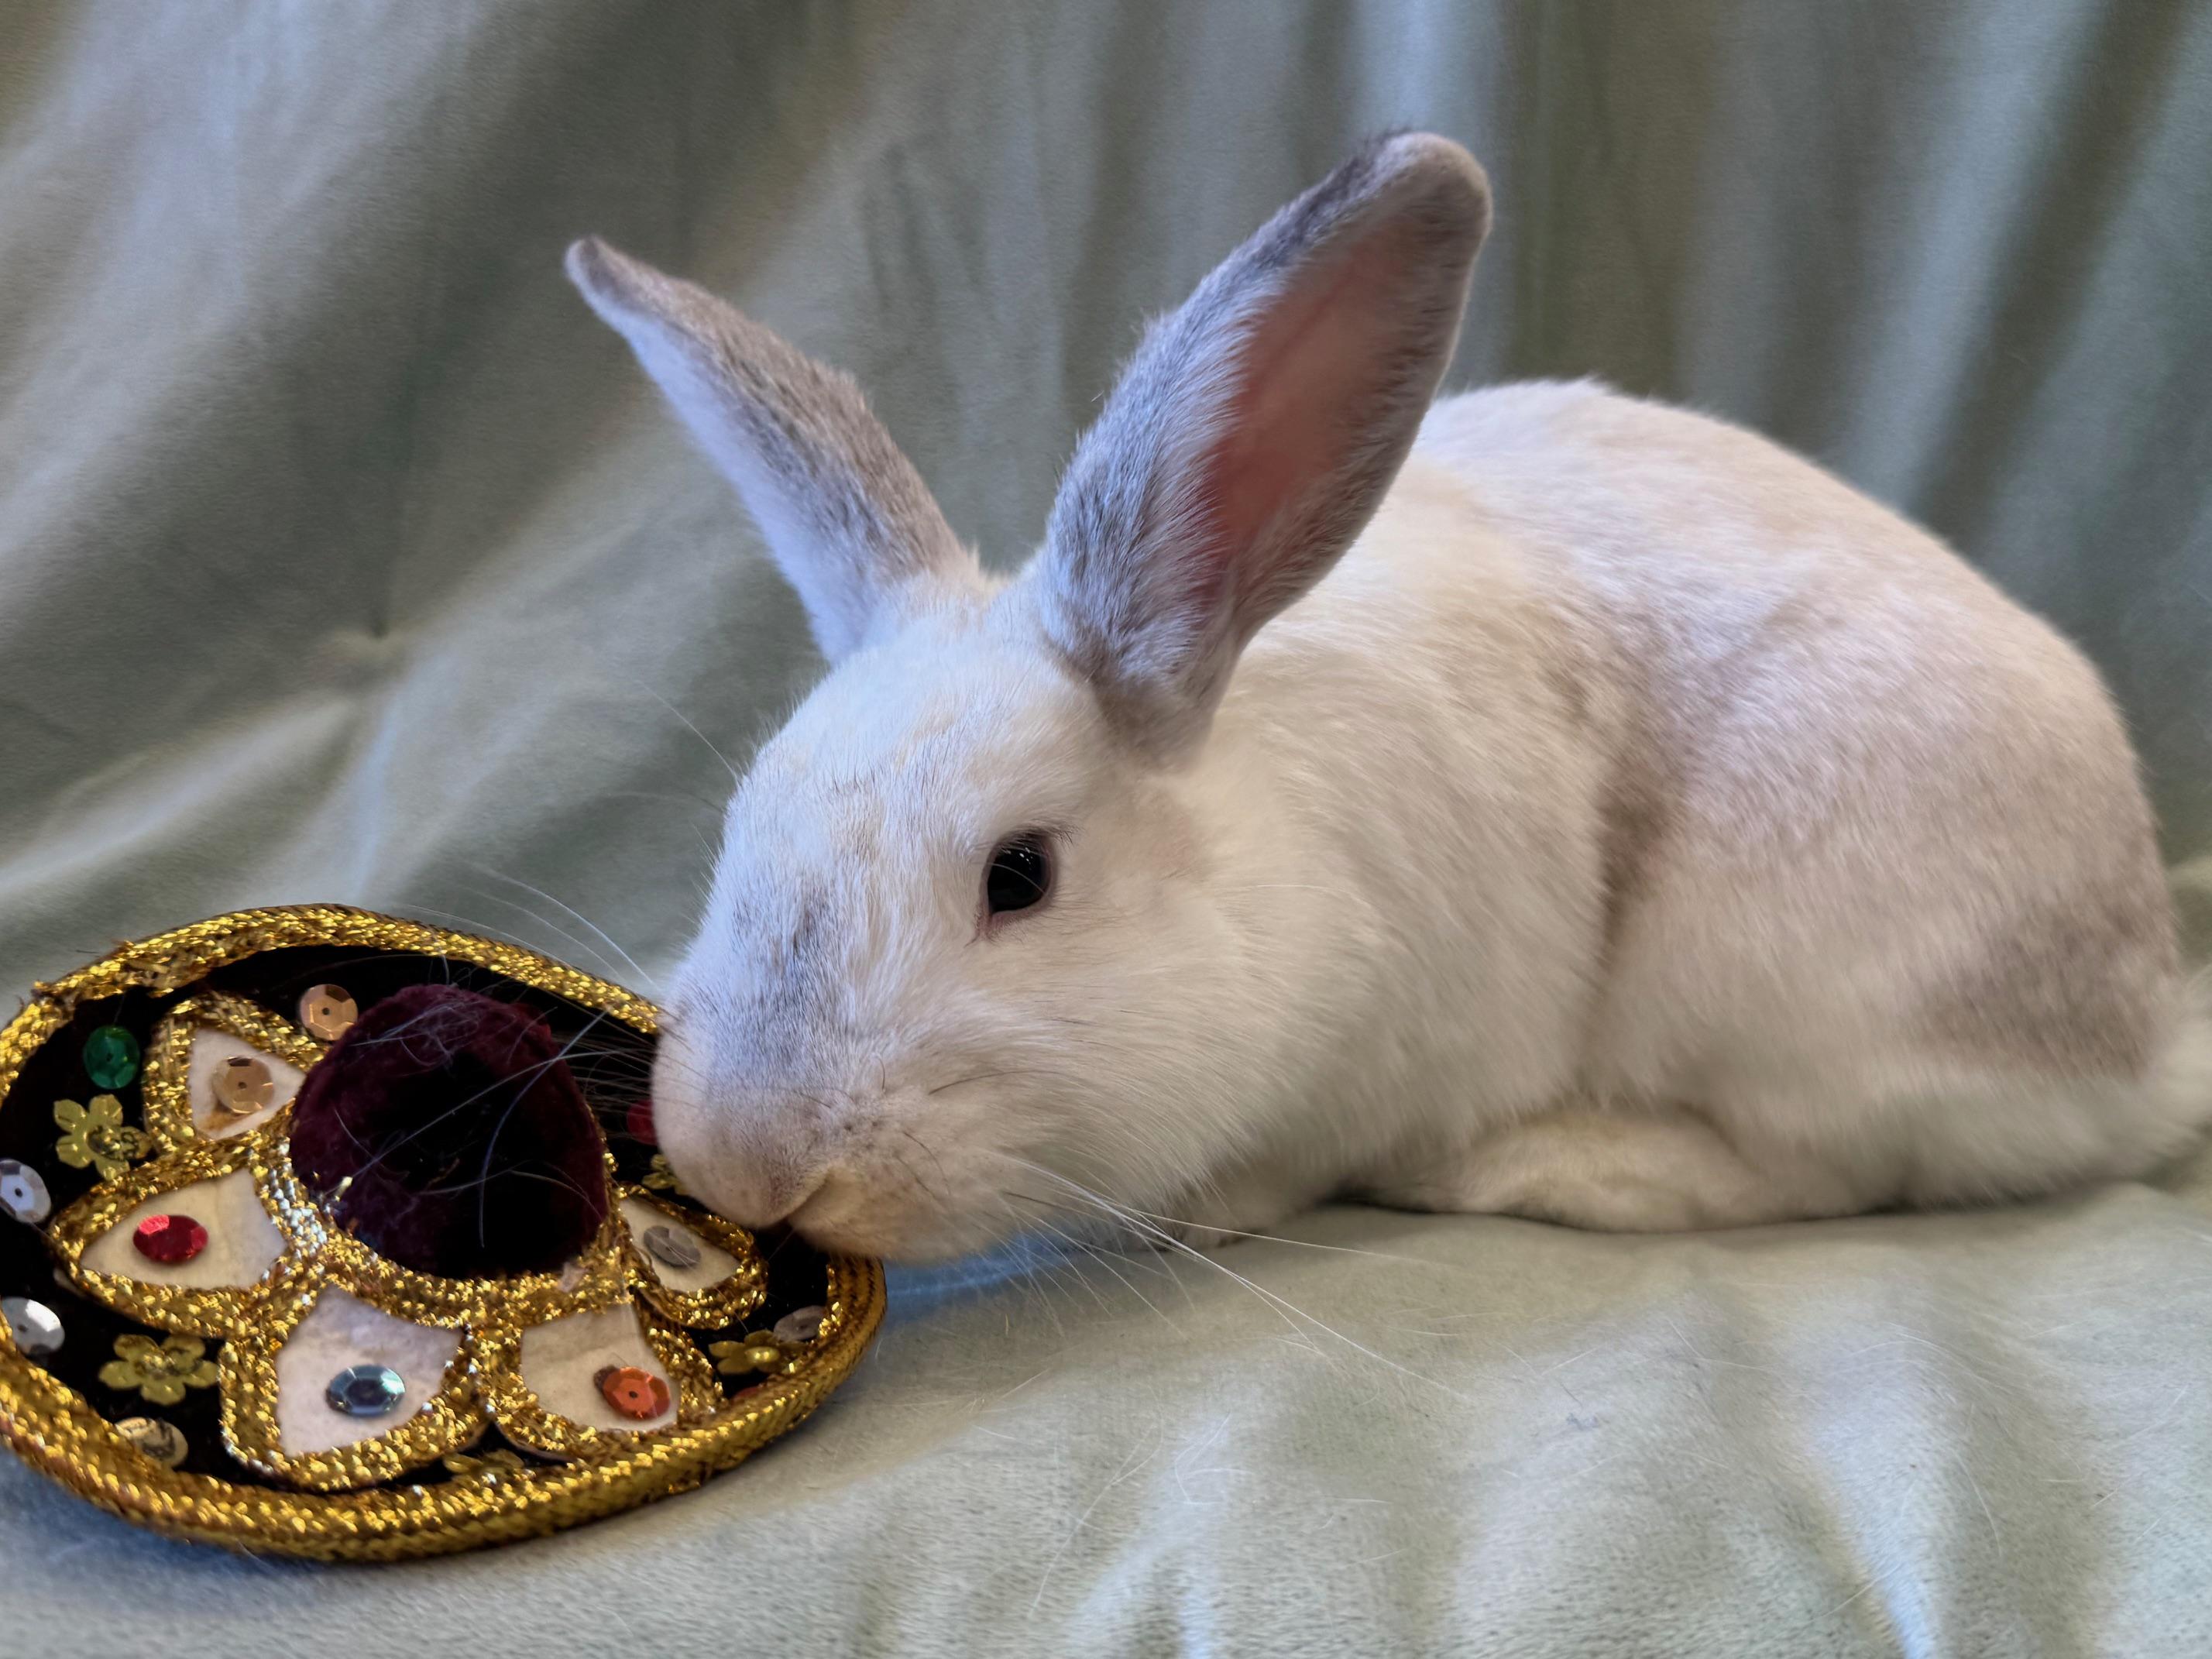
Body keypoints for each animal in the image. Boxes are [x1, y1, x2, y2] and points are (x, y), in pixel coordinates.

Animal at [566, 132, 2211, 1263]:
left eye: (1018, 877)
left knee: (1837, 1169)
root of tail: (2140, 1028)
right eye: (739, 826)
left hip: (1782, 979)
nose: (745, 1167)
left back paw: (1536, 1171)